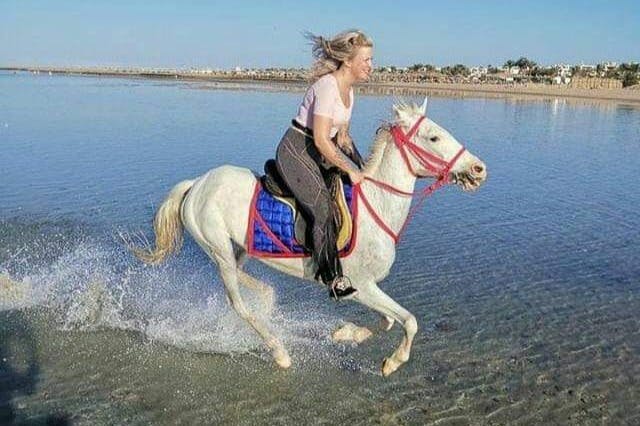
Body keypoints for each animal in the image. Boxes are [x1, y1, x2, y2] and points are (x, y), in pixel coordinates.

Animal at [133, 98, 487, 376]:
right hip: (216, 246)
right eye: (434, 137)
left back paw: (267, 300)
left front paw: (346, 335)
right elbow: (408, 321)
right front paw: (392, 362)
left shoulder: (367, 288)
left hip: (239, 247)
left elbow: (388, 321)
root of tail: (196, 183)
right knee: (237, 303)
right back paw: (279, 351)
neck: (376, 206)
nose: (479, 169)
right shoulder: (358, 286)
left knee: (243, 276)